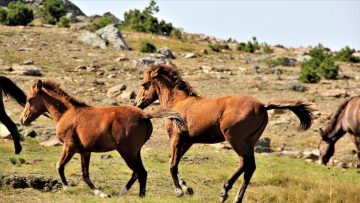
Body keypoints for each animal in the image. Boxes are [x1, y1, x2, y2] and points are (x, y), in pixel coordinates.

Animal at [20, 80, 187, 197]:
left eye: (29, 99)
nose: (23, 120)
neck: (67, 113)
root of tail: (144, 115)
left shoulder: (69, 146)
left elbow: (59, 166)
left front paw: (67, 187)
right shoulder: (85, 151)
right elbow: (85, 175)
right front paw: (101, 193)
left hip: (127, 152)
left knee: (141, 172)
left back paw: (133, 194)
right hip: (135, 152)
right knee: (138, 172)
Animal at [135, 64, 312, 202]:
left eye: (144, 84)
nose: (137, 103)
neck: (177, 102)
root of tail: (262, 106)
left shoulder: (176, 138)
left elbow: (172, 165)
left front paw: (179, 191)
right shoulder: (188, 141)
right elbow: (175, 162)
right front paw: (187, 188)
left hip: (234, 138)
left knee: (246, 163)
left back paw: (225, 191)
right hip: (249, 142)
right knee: (249, 167)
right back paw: (236, 198)